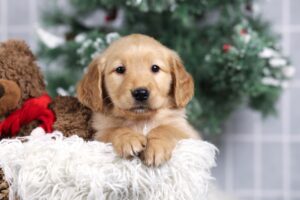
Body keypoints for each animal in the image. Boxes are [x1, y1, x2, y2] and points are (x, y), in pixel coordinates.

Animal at [77, 34, 199, 166]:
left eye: (155, 68)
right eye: (120, 69)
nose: (140, 93)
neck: (141, 121)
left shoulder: (188, 132)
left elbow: (167, 128)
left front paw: (157, 147)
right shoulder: (98, 136)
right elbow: (114, 130)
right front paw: (128, 138)